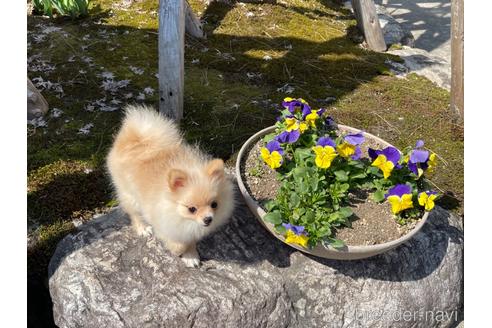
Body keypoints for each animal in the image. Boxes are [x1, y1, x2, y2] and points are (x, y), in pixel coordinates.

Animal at [106, 105, 234, 266]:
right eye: (192, 209)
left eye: (214, 204)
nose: (208, 219)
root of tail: (137, 137)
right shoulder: (164, 223)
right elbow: (177, 242)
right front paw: (177, 250)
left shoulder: (188, 229)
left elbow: (190, 241)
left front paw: (191, 255)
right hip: (129, 194)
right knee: (134, 213)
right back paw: (143, 229)